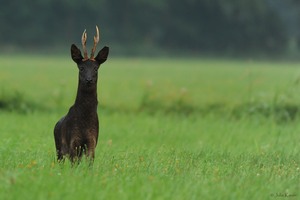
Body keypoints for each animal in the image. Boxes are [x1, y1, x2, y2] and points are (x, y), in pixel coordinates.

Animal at [54, 25, 109, 163]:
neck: (85, 121)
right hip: (58, 149)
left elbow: (89, 164)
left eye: (96, 68)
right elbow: (74, 164)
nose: (88, 80)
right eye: (81, 68)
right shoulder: (73, 141)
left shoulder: (92, 141)